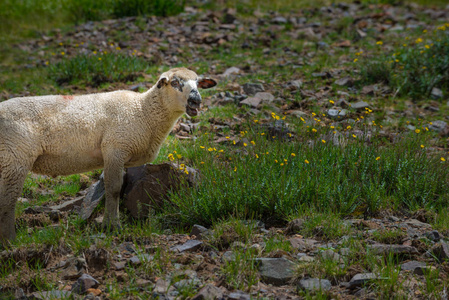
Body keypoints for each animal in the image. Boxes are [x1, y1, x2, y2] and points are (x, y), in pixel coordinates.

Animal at [0, 67, 217, 241]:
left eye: (198, 83)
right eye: (175, 83)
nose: (196, 101)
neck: (143, 112)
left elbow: (120, 189)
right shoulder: (115, 149)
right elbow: (113, 189)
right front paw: (112, 226)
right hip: (15, 155)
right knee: (9, 199)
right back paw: (10, 240)